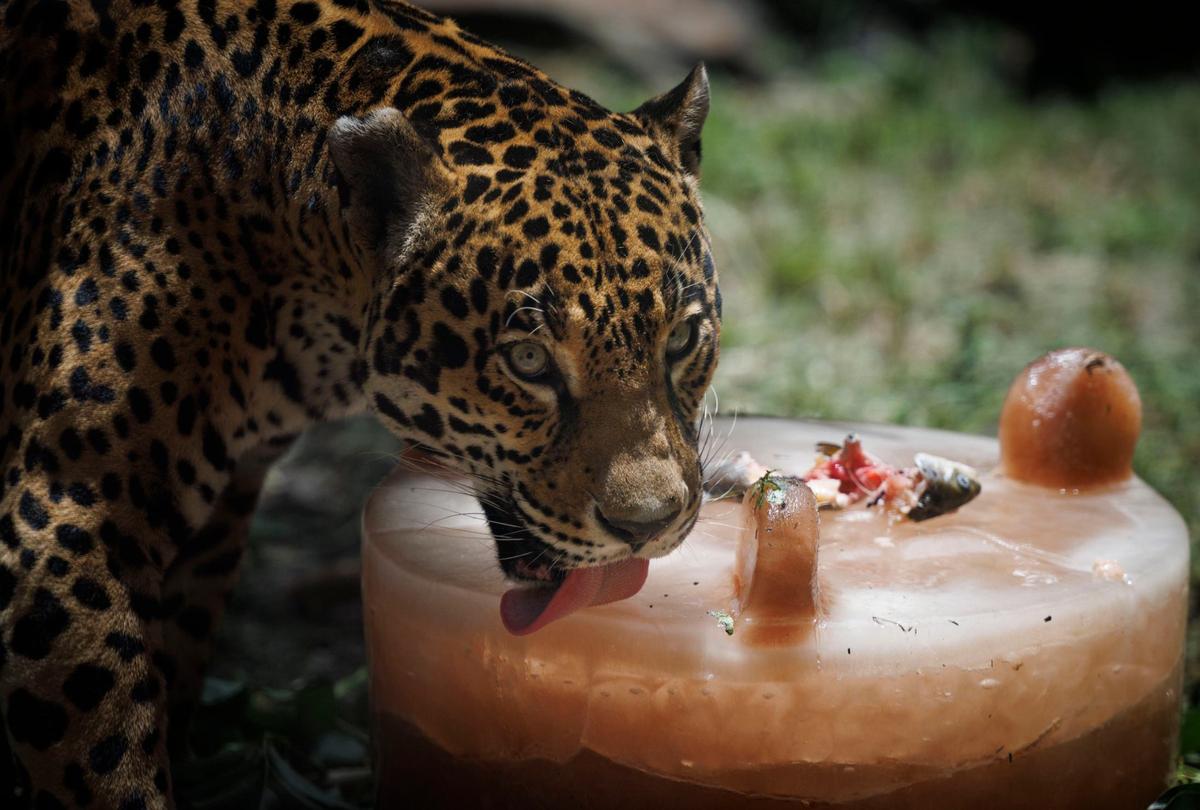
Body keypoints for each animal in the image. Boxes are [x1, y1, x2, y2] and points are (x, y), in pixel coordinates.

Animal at [0, 0, 720, 806]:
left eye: (682, 338)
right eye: (529, 360)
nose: (646, 526)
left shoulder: (220, 508)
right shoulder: (67, 501)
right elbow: (102, 739)